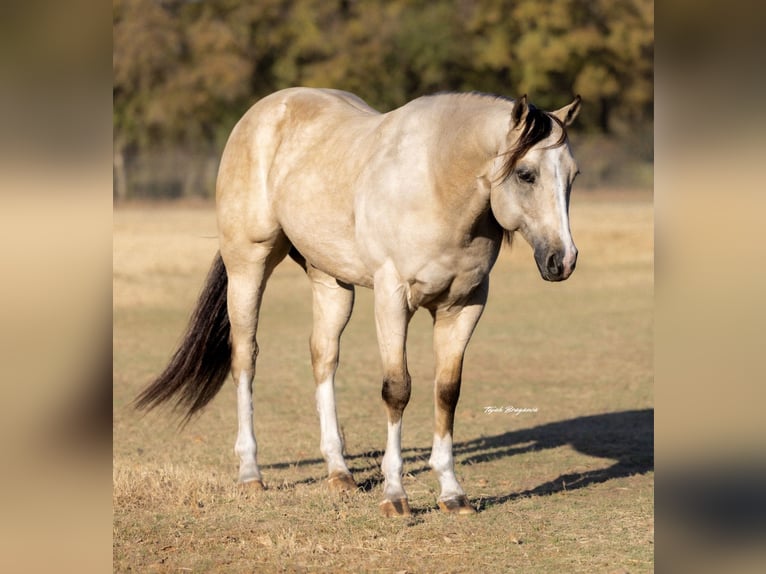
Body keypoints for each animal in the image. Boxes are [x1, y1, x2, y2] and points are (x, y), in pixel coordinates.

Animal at [136, 87, 581, 516]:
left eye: (572, 176)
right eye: (525, 174)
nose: (563, 260)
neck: (437, 182)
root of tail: (261, 112)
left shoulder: (464, 305)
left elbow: (447, 392)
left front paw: (452, 493)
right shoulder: (392, 297)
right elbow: (397, 390)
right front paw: (395, 496)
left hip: (330, 281)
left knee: (323, 357)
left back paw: (339, 472)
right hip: (248, 265)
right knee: (245, 358)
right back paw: (250, 473)